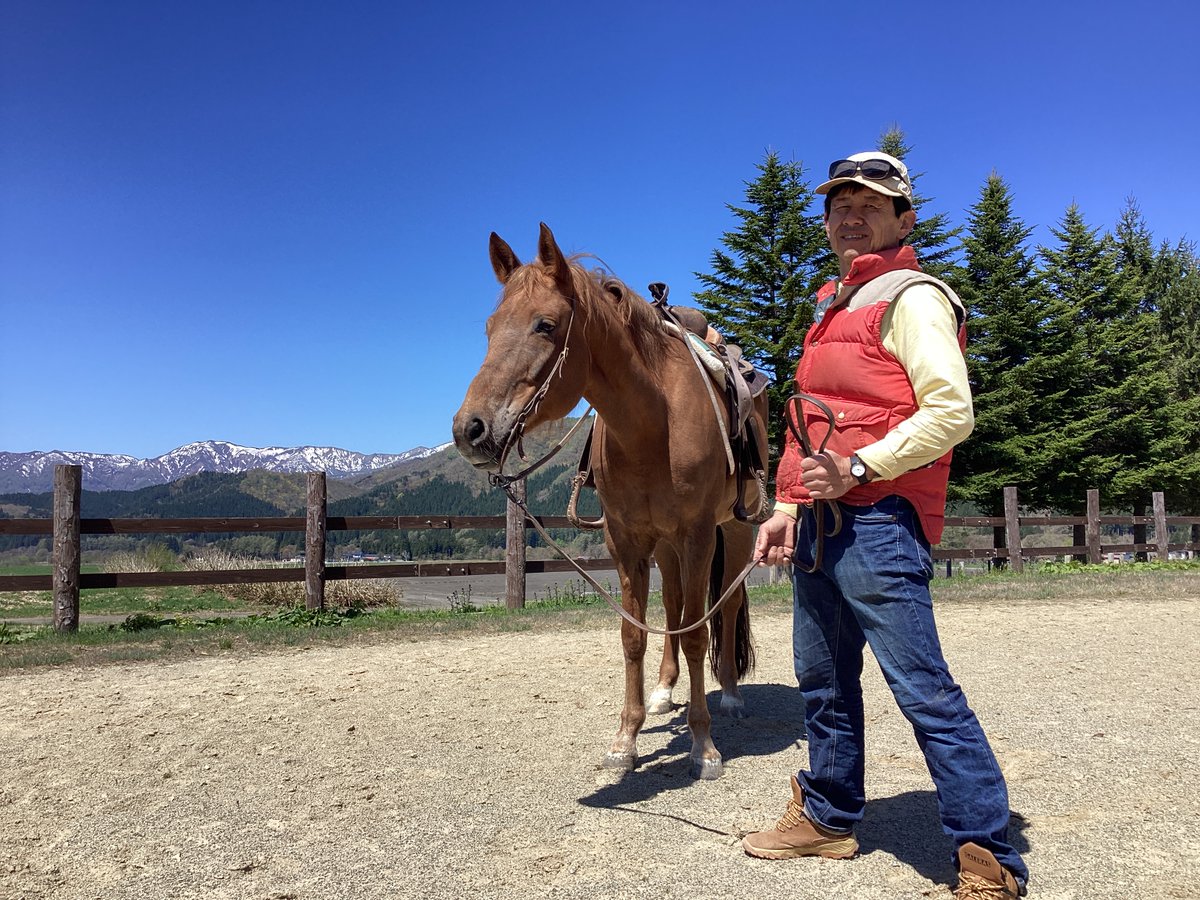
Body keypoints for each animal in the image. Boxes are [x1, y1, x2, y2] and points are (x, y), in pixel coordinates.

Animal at [452, 223, 767, 779]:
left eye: (545, 325)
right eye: (490, 328)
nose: (471, 428)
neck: (653, 422)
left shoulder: (698, 535)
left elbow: (696, 634)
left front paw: (703, 745)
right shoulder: (627, 540)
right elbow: (633, 635)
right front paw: (626, 740)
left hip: (734, 529)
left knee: (723, 608)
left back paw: (729, 693)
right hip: (665, 546)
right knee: (675, 609)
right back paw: (664, 691)